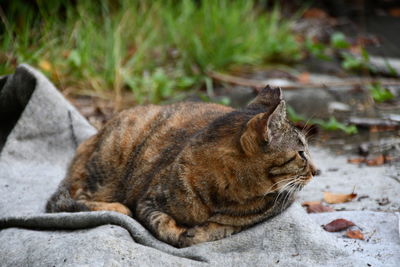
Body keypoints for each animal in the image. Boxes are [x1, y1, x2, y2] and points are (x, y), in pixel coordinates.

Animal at [46, 86, 316, 249]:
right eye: (301, 153)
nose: (316, 170)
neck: (226, 193)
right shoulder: (148, 201)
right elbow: (161, 223)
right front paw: (179, 233)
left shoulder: (274, 207)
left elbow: (224, 226)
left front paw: (200, 232)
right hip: (107, 166)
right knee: (62, 201)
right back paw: (117, 207)